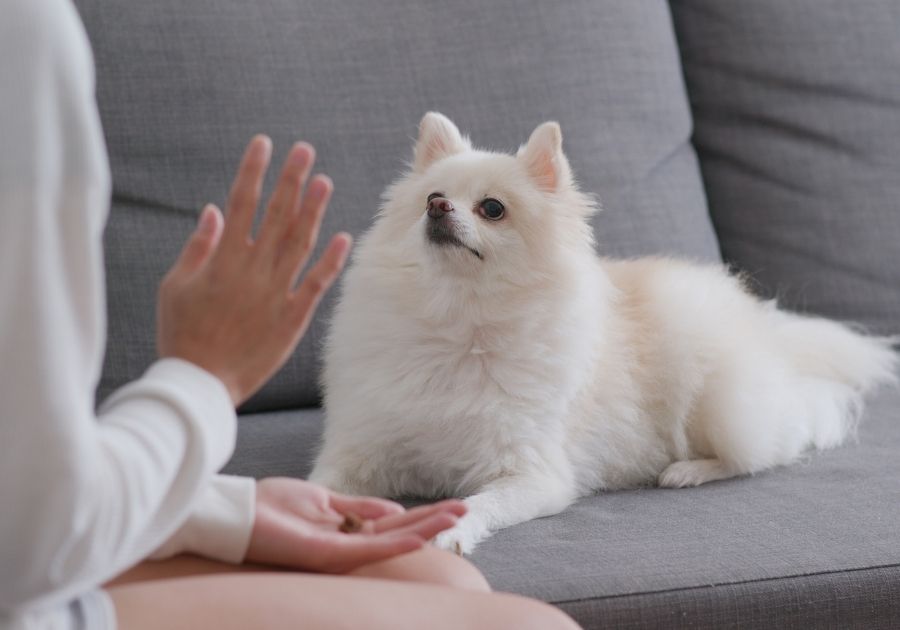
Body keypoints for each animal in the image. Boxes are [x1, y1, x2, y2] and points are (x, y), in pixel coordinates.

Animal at [308, 112, 892, 552]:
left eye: (492, 208)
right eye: (431, 195)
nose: (437, 207)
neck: (459, 323)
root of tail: (771, 331)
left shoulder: (534, 475)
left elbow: (478, 502)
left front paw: (447, 533)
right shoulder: (361, 450)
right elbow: (316, 485)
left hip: (721, 402)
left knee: (762, 453)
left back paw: (689, 470)